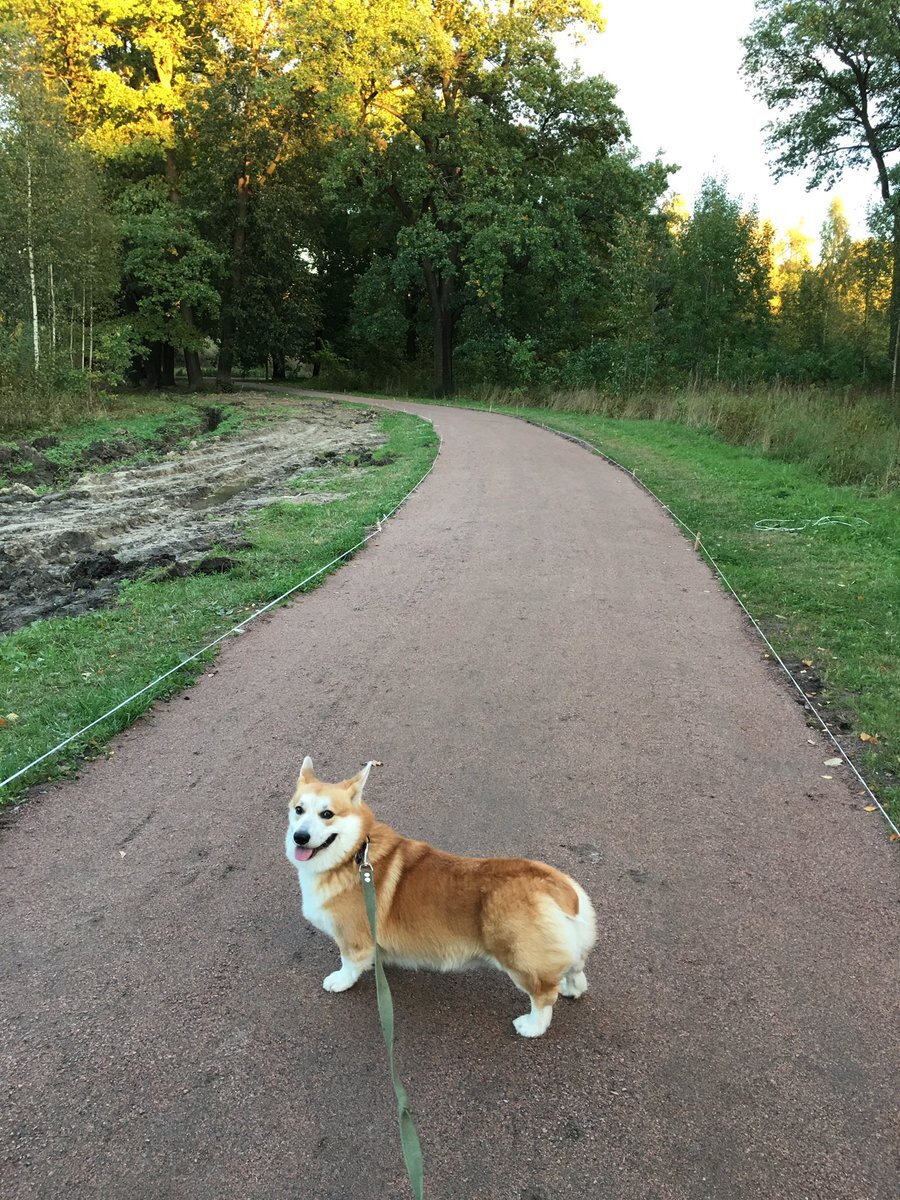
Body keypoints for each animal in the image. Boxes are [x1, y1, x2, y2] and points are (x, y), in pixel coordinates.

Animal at [285, 753, 595, 1036]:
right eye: (299, 809)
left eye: (327, 814)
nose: (299, 837)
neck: (353, 853)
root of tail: (558, 887)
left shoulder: (352, 937)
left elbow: (348, 963)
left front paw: (339, 981)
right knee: (576, 970)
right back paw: (571, 989)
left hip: (518, 958)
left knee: (543, 995)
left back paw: (531, 1026)